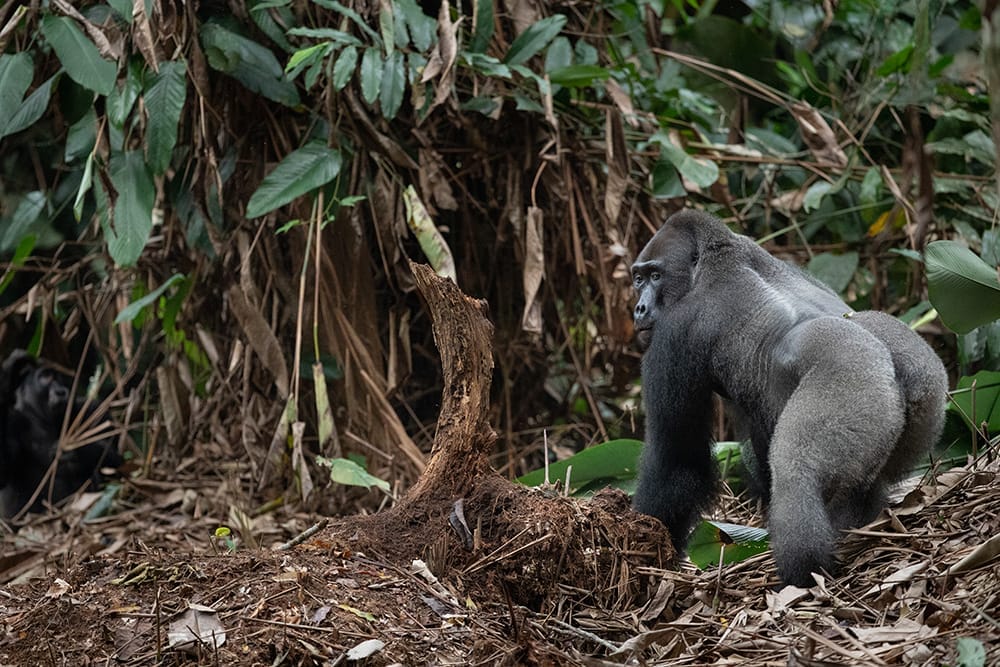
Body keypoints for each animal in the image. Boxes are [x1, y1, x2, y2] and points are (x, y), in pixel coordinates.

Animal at [0, 350, 121, 518]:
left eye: (59, 378)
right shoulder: (13, 421)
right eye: (46, 377)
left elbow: (116, 460)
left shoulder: (94, 409)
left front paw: (71, 449)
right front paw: (8, 376)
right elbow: (2, 473)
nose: (60, 391)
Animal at [630, 210, 947, 587]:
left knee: (796, 473)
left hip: (855, 385)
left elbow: (678, 461)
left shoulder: (673, 334)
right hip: (927, 392)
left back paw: (804, 572)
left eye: (655, 275)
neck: (713, 260)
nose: (639, 308)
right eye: (637, 279)